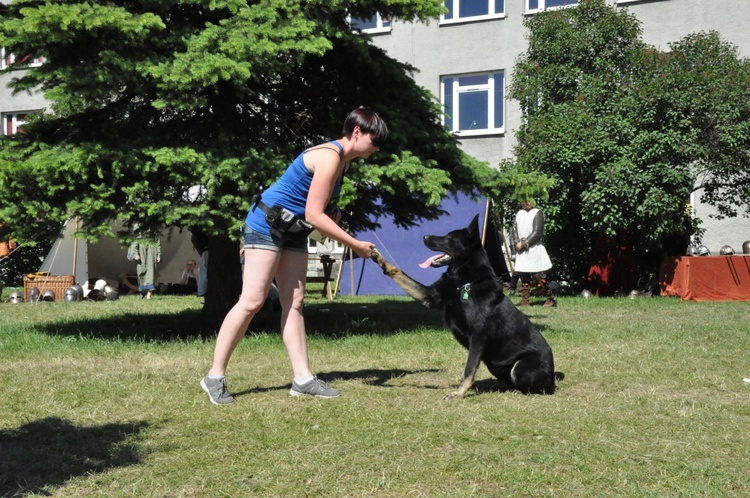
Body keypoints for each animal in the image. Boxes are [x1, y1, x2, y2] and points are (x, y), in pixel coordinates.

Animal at [372, 216, 564, 398]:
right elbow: (397, 272)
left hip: (520, 366)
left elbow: (469, 369)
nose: (425, 237)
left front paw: (459, 393)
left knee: (542, 388)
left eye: (449, 238)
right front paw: (378, 258)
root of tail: (552, 375)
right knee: (508, 382)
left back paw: (520, 391)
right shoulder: (429, 296)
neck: (465, 284)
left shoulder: (477, 338)